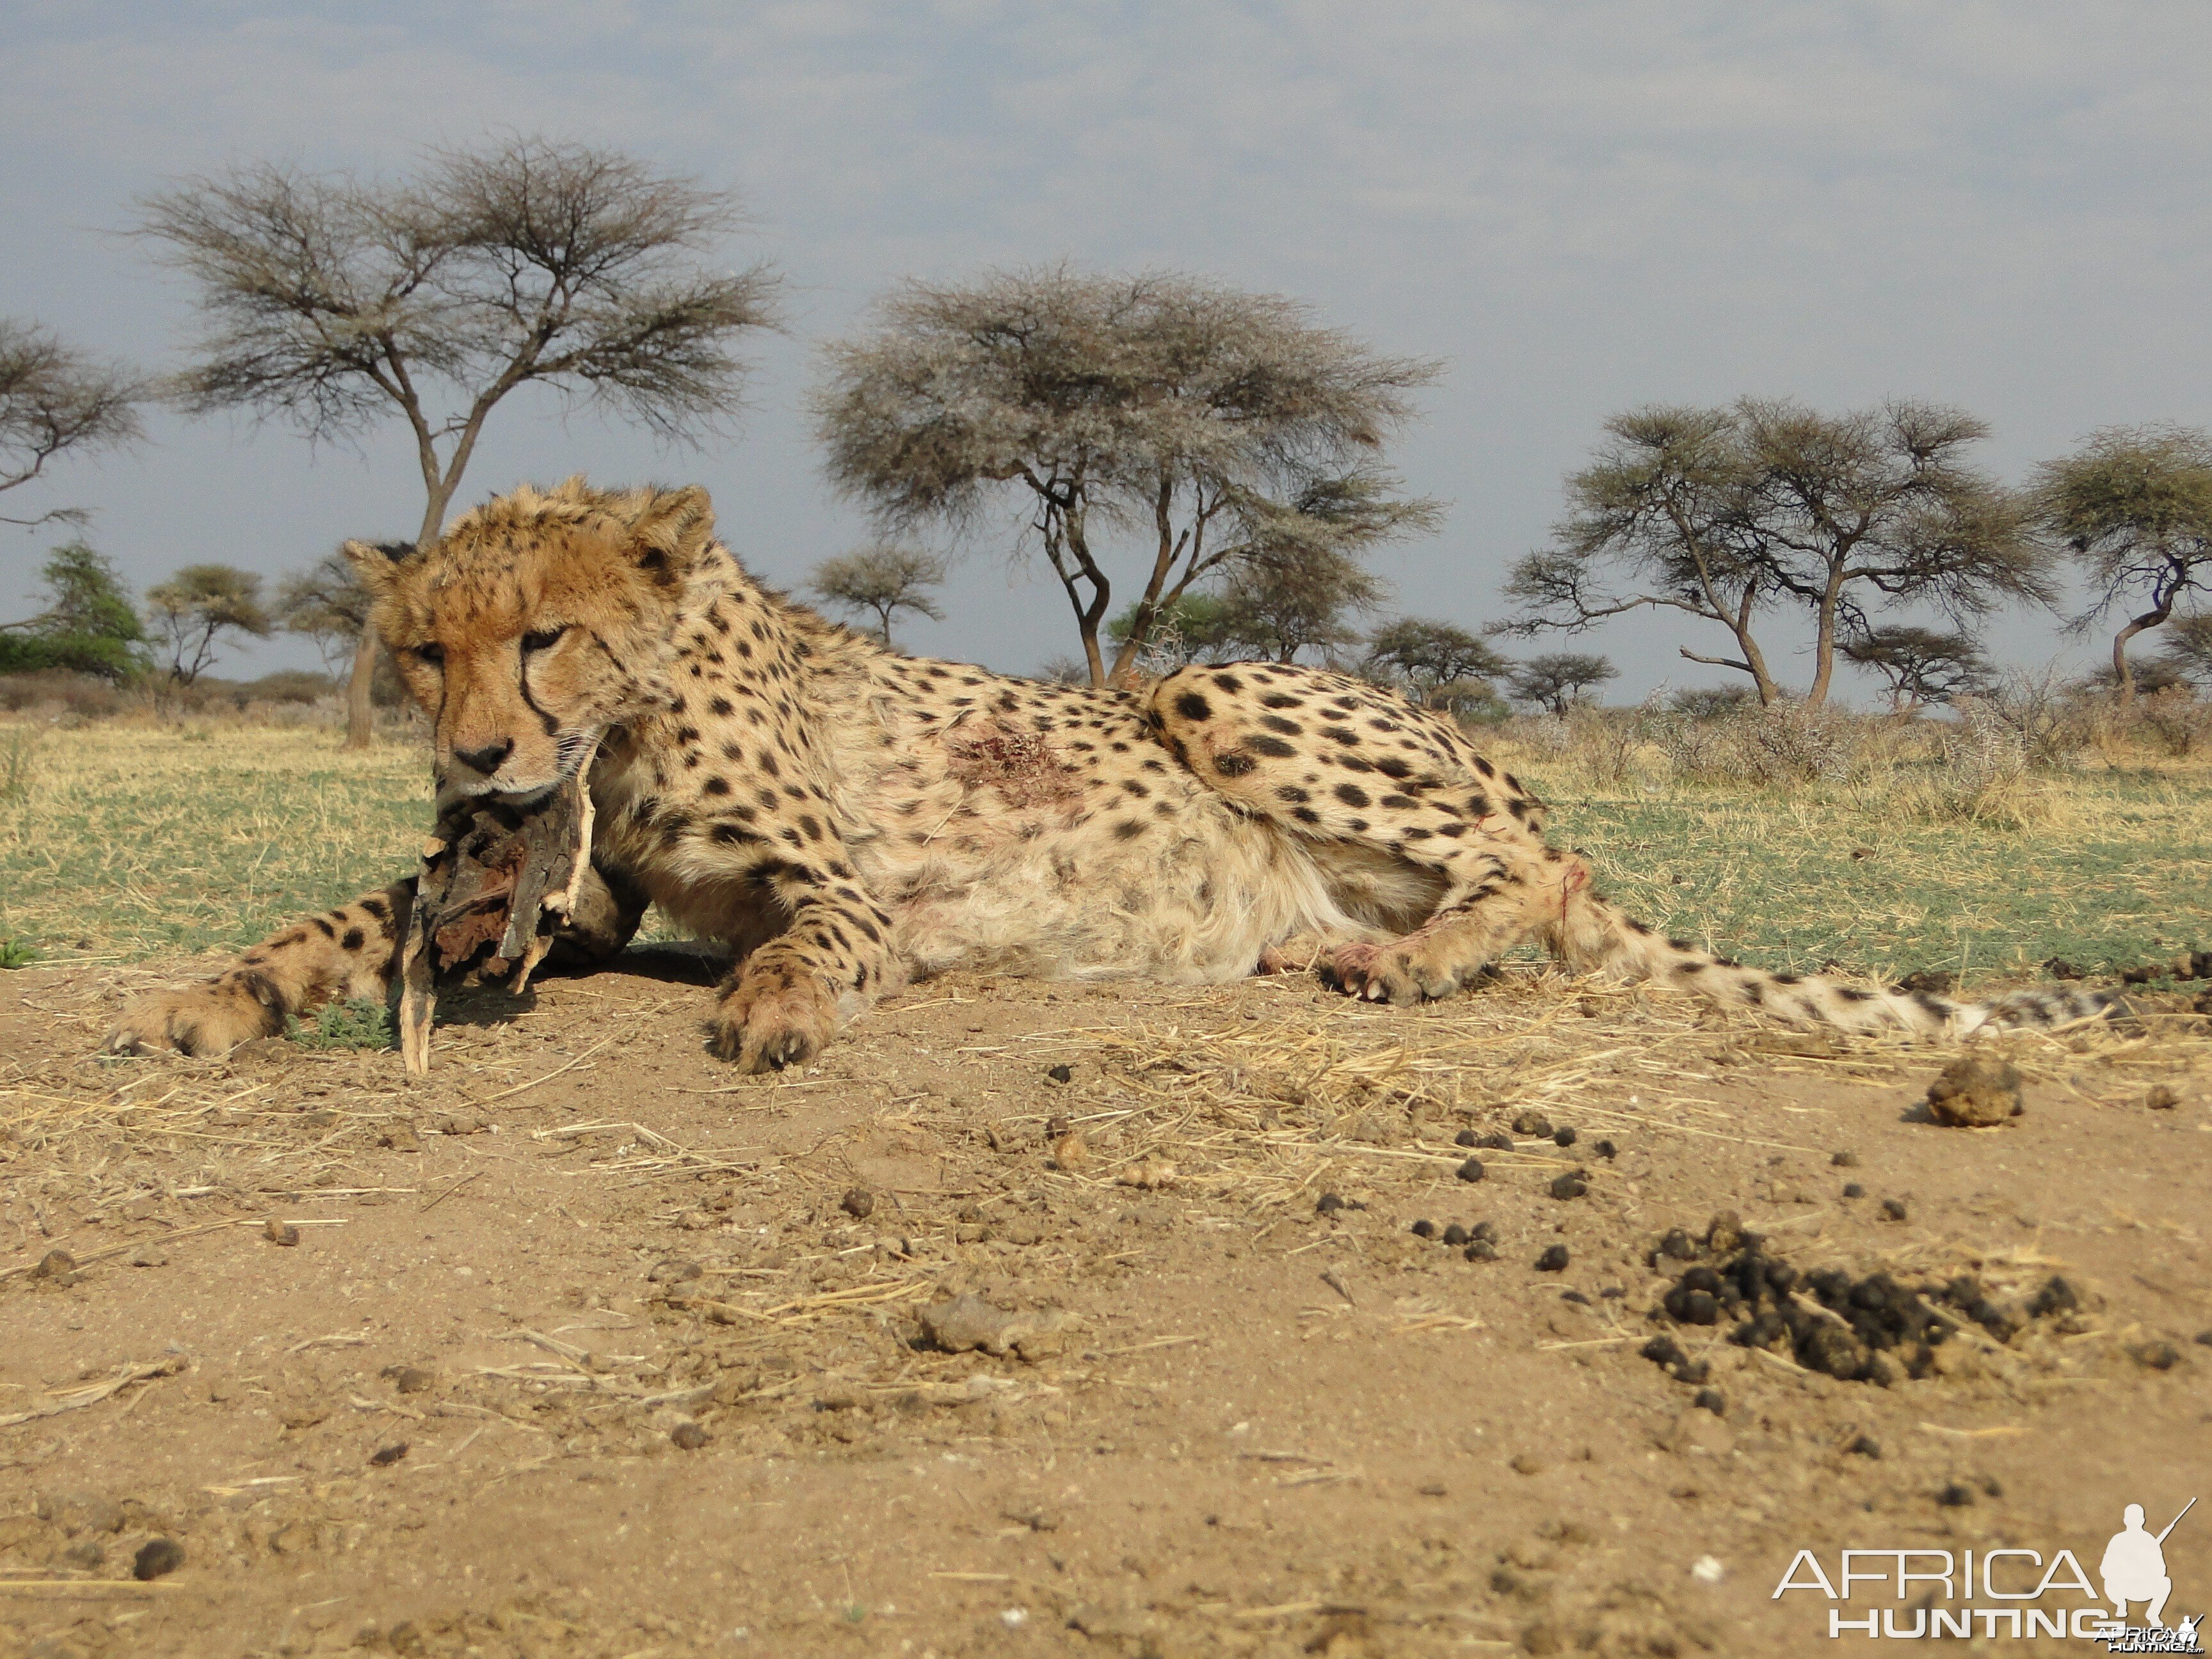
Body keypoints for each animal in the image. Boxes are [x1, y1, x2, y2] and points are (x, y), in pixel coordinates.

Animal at [108, 473, 2106, 1070]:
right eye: (423, 649)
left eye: (544, 639)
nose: (472, 752)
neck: (628, 728)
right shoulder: (561, 889)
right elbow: (351, 916)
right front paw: (214, 991)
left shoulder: (840, 888)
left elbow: (807, 940)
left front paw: (772, 1010)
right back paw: (1346, 947)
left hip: (1205, 681)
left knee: (1543, 873)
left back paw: (1410, 959)